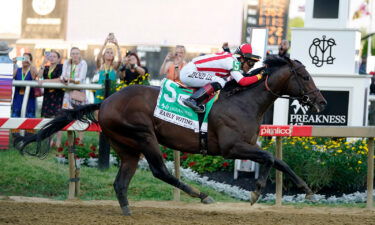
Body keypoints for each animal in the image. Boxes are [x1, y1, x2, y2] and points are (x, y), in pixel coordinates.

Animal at [19, 55, 328, 215]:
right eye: (305, 76)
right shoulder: (231, 148)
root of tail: (104, 102)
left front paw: (299, 190)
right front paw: (265, 191)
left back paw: (127, 211)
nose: (321, 102)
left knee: (121, 182)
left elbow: (274, 161)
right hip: (143, 135)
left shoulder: (247, 145)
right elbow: (273, 159)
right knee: (161, 172)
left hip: (126, 146)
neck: (244, 102)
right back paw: (201, 195)